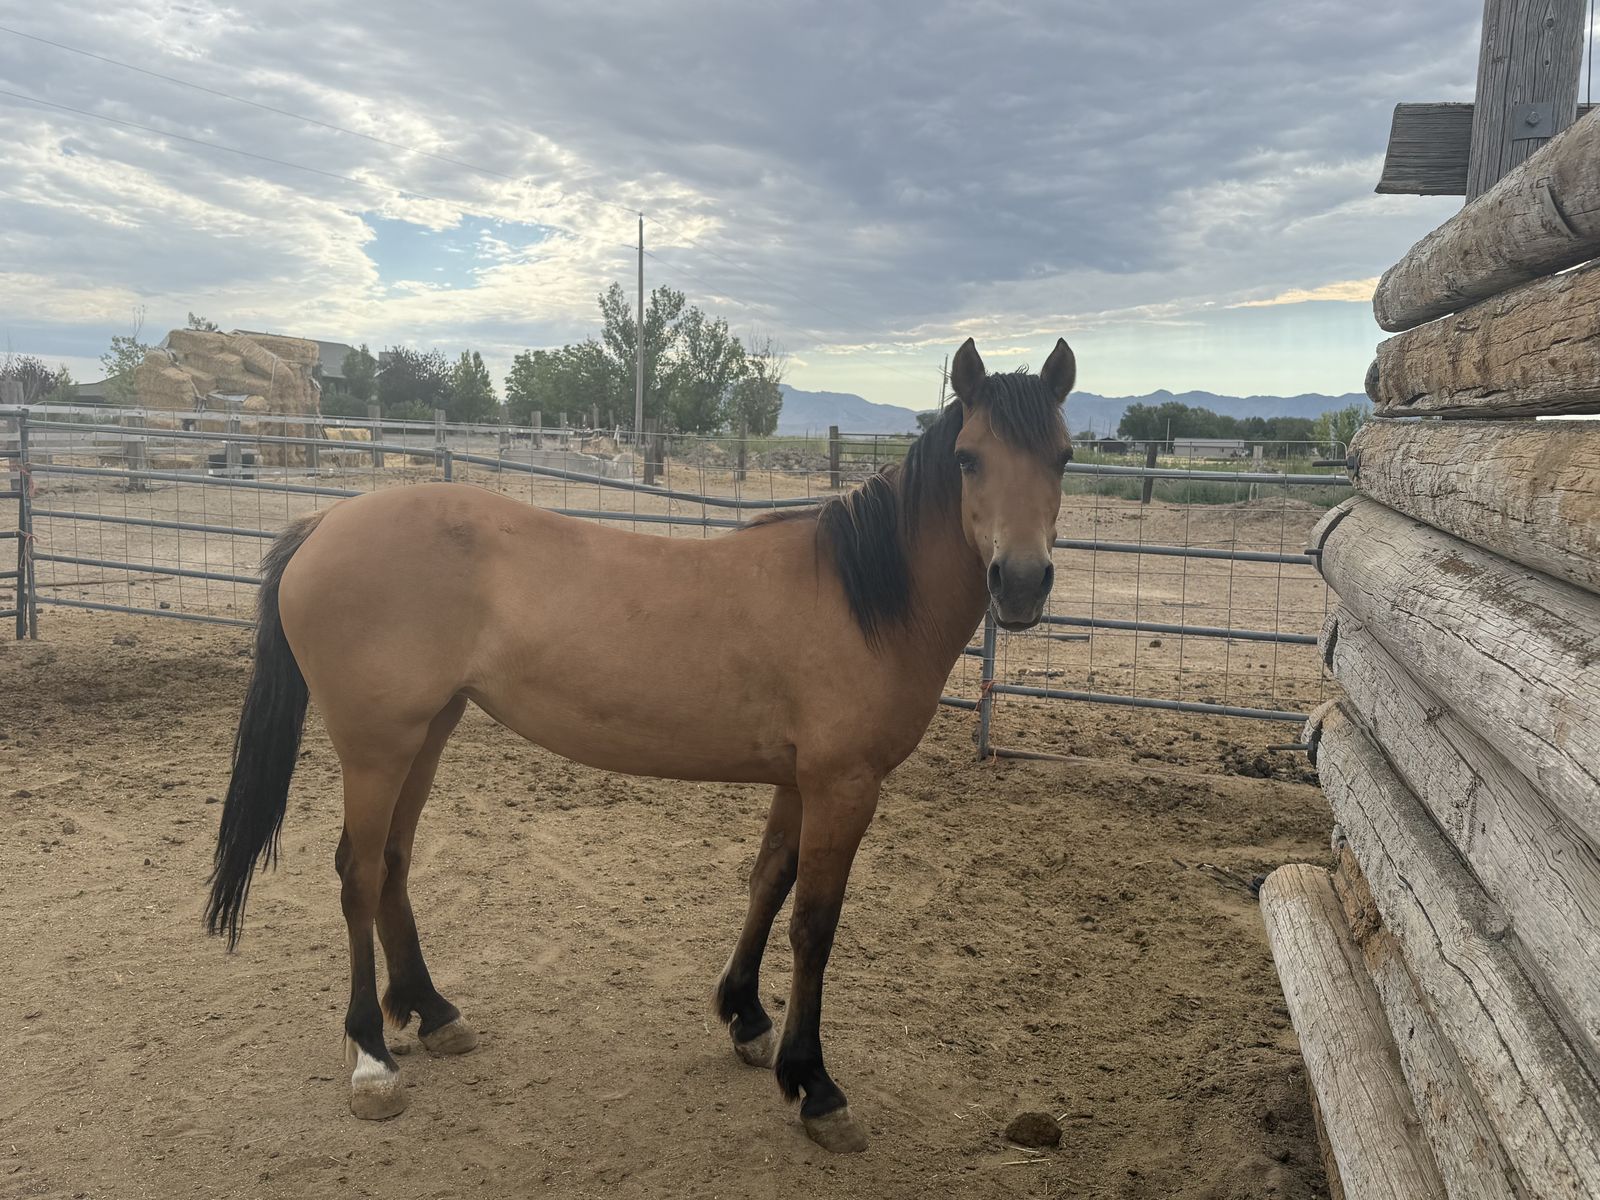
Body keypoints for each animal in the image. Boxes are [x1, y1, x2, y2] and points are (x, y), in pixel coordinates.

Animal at [205, 336, 1075, 1154]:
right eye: (968, 458)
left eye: (1063, 456)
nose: (1021, 581)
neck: (859, 598)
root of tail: (324, 523)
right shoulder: (844, 785)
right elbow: (814, 925)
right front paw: (817, 1087)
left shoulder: (800, 781)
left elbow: (769, 882)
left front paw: (746, 1018)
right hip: (375, 746)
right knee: (357, 876)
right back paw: (372, 1061)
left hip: (427, 732)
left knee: (391, 863)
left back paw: (433, 1012)